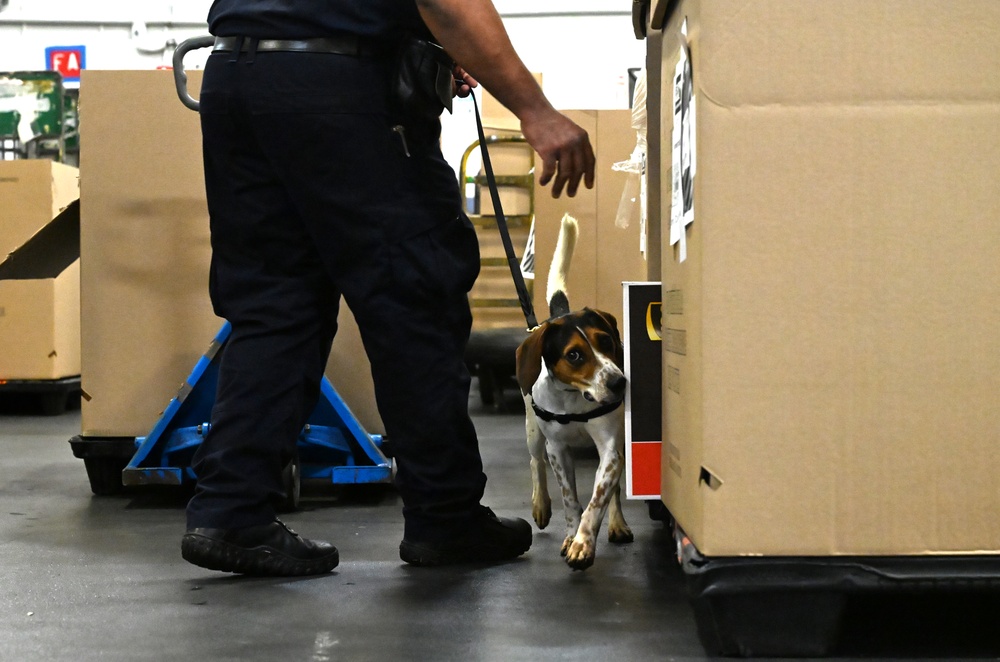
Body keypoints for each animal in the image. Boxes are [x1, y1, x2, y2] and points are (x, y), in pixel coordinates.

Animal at [516, 217, 632, 572]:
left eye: (606, 341)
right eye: (575, 355)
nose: (619, 382)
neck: (577, 399)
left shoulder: (611, 448)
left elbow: (598, 498)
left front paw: (583, 542)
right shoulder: (558, 450)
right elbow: (570, 500)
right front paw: (571, 535)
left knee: (615, 491)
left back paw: (618, 523)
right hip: (532, 430)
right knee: (535, 461)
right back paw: (540, 504)